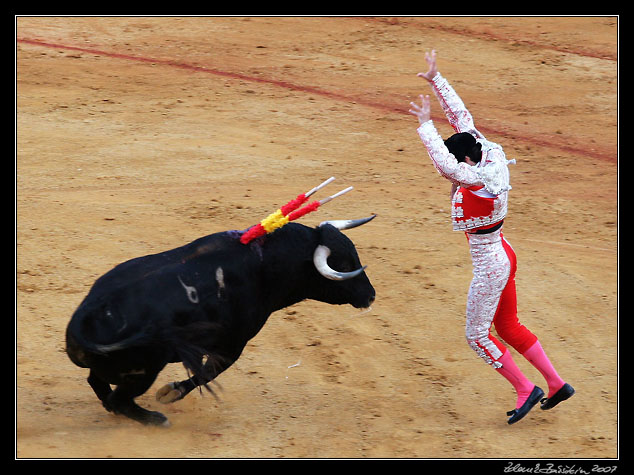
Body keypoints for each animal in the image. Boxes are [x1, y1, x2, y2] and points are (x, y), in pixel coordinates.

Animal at [65, 218, 372, 426]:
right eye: (345, 265)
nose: (371, 295)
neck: (265, 265)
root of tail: (86, 315)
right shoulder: (233, 344)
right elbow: (208, 373)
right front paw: (171, 392)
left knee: (99, 385)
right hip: (145, 369)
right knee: (120, 399)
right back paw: (155, 418)